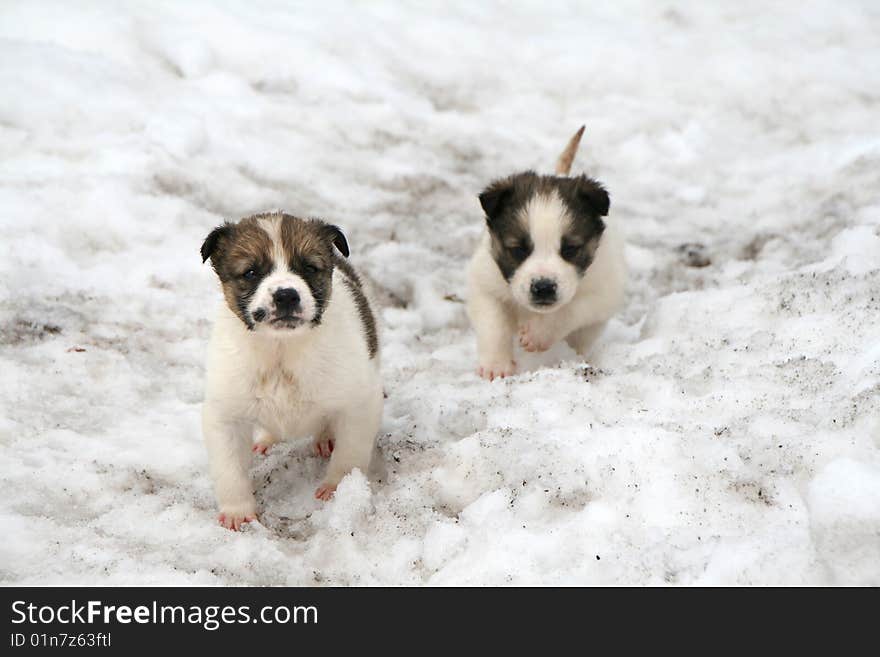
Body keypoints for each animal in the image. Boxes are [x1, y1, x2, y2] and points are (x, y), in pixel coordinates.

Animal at [199, 213, 382, 532]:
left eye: (308, 268)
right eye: (250, 272)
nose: (286, 295)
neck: (281, 349)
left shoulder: (360, 403)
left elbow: (350, 454)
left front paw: (339, 489)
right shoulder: (224, 416)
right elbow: (229, 469)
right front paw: (237, 512)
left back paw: (324, 438)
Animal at [468, 126, 624, 380]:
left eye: (570, 249)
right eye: (518, 249)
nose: (543, 287)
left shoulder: (605, 290)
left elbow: (570, 308)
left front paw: (538, 335)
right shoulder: (485, 282)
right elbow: (494, 323)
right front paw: (496, 364)